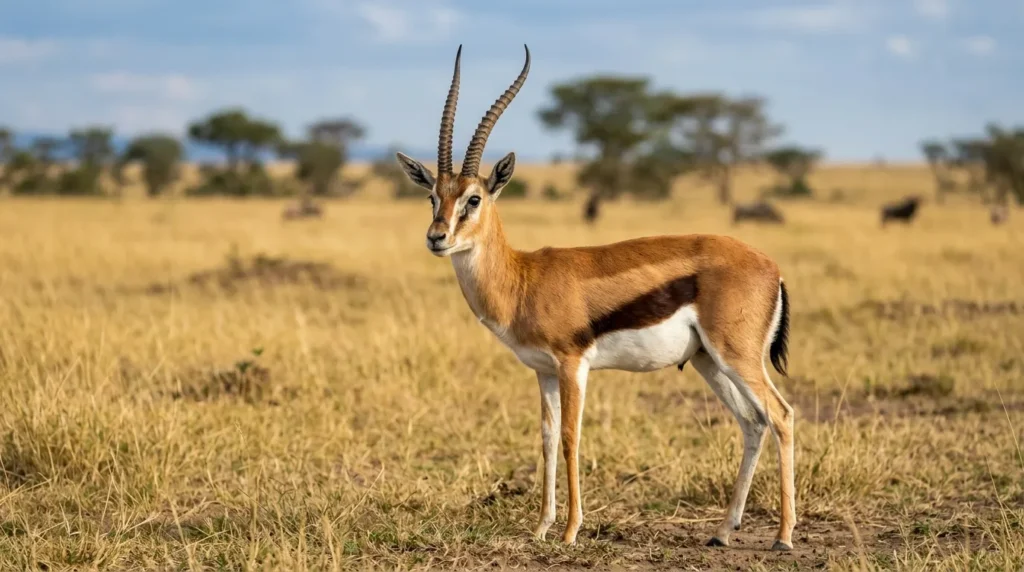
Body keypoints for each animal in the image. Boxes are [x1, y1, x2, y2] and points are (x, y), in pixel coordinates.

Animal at [395, 45, 797, 551]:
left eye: (473, 199)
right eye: (432, 196)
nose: (437, 237)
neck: (523, 278)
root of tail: (772, 267)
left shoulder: (573, 364)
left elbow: (571, 437)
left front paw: (569, 532)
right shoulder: (543, 371)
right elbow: (547, 439)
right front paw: (540, 528)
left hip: (737, 356)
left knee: (781, 415)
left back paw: (783, 537)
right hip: (708, 360)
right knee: (753, 422)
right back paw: (723, 531)